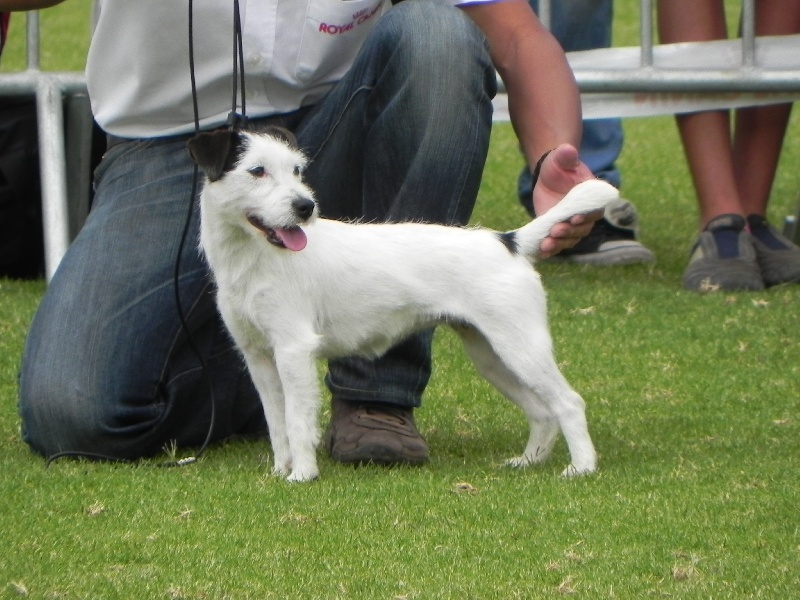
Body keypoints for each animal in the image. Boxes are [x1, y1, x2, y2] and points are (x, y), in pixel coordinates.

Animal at [188, 127, 620, 482]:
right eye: (257, 171)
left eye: (296, 170)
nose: (305, 207)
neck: (253, 258)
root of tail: (508, 241)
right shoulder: (259, 356)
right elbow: (277, 422)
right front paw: (281, 469)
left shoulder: (293, 350)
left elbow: (297, 420)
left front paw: (302, 474)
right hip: (493, 355)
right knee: (542, 411)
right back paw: (528, 461)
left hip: (521, 348)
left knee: (568, 403)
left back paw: (581, 467)